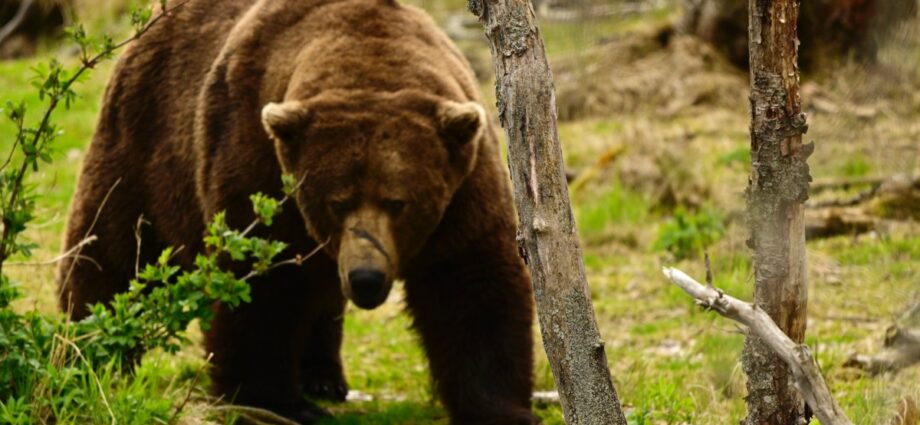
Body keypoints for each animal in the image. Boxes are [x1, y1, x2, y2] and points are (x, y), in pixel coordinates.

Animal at [57, 0, 538, 423]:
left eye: (398, 202)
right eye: (337, 201)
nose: (366, 278)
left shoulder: (463, 192)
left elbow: (472, 287)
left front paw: (501, 409)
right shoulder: (258, 166)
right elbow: (260, 285)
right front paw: (272, 401)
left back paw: (324, 377)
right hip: (146, 143)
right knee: (112, 250)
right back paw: (87, 354)